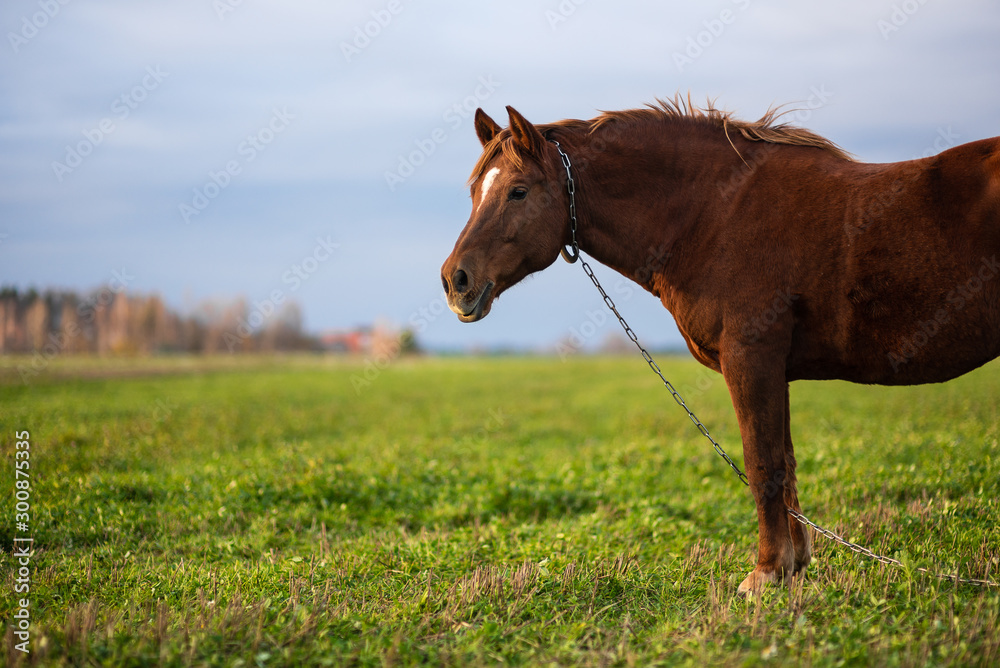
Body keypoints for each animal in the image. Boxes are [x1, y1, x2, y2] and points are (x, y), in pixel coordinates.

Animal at [440, 96, 1000, 594]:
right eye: (474, 193)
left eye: (518, 191)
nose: (456, 280)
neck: (715, 212)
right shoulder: (774, 368)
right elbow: (784, 464)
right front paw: (794, 566)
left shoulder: (751, 357)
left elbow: (762, 464)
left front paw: (767, 573)